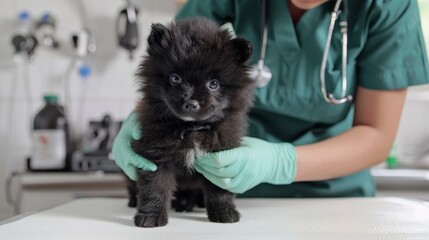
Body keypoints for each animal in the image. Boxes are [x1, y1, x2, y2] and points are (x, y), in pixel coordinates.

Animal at [129, 16, 252, 227]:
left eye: (214, 84)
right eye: (174, 78)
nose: (191, 103)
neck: (192, 128)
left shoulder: (220, 160)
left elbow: (220, 189)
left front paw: (224, 213)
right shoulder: (155, 155)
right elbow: (155, 187)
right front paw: (151, 217)